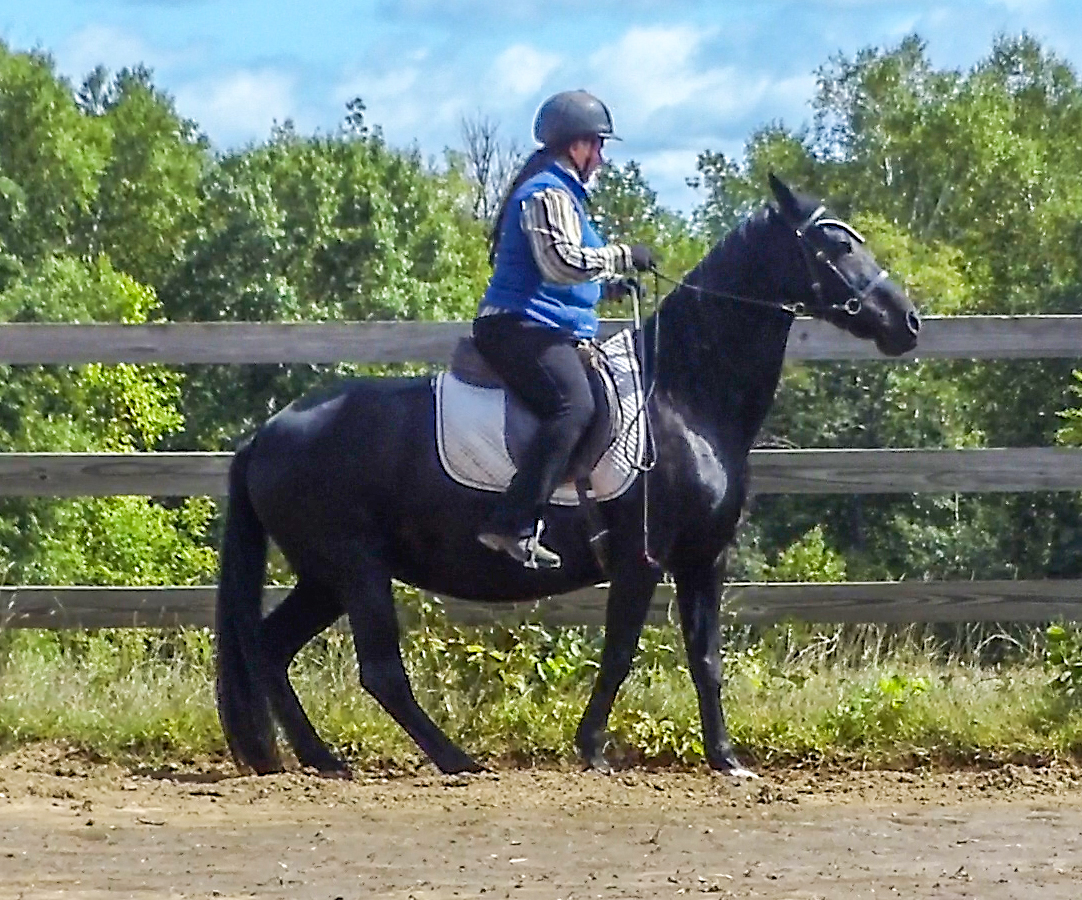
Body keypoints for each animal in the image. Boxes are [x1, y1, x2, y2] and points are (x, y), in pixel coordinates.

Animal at [215, 174, 920, 779]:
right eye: (837, 243)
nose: (907, 322)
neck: (681, 396)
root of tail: (266, 433)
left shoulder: (703, 558)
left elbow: (706, 658)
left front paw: (725, 758)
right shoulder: (643, 557)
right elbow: (620, 652)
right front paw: (593, 748)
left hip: (325, 575)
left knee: (272, 647)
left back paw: (319, 759)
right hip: (355, 567)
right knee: (380, 670)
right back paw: (454, 760)